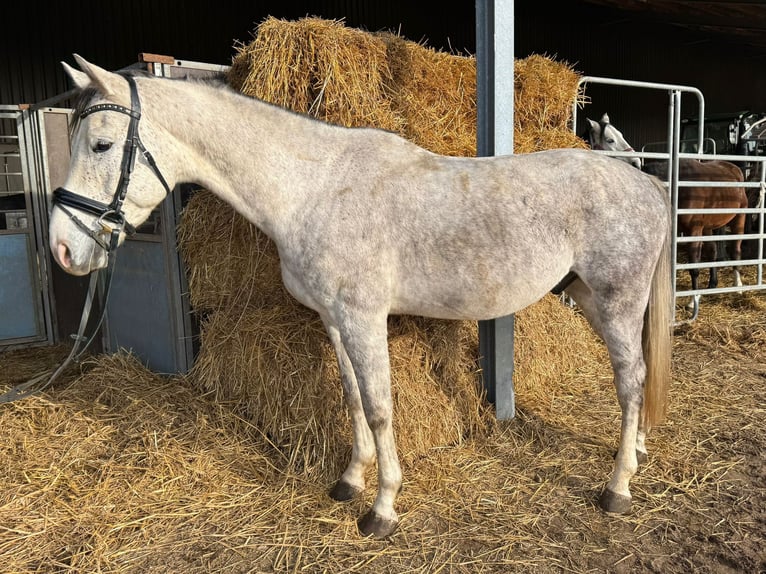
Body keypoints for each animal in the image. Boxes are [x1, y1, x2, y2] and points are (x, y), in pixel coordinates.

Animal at [49, 55, 672, 539]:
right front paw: (350, 482)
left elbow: (378, 406)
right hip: (590, 296)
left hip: (617, 300)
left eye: (101, 144)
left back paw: (617, 487)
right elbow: (351, 398)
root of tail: (646, 181)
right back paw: (640, 451)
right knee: (639, 376)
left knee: (630, 380)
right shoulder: (333, 318)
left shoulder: (363, 318)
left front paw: (382, 509)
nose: (63, 249)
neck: (316, 187)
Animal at [585, 113, 747, 308]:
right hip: (711, 226)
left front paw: (692, 301)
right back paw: (711, 285)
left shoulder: (693, 230)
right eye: (610, 139)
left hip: (739, 219)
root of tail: (734, 168)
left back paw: (738, 286)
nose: (636, 162)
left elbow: (693, 266)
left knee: (736, 250)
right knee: (713, 251)